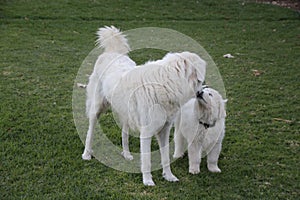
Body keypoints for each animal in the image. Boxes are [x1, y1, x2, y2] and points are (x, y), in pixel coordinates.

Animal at [81, 25, 206, 185]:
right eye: (200, 80)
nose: (202, 93)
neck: (167, 84)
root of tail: (112, 52)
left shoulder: (164, 130)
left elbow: (165, 157)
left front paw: (168, 176)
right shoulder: (146, 132)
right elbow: (146, 160)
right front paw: (147, 181)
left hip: (126, 113)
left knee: (124, 133)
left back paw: (126, 154)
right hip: (97, 109)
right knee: (90, 131)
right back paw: (86, 154)